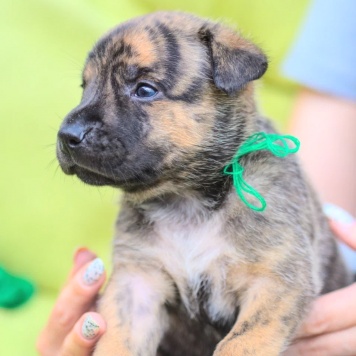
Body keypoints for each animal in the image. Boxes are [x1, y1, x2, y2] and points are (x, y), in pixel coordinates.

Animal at [57, 11, 352, 356]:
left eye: (144, 90)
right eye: (85, 86)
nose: (67, 136)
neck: (186, 199)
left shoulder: (276, 279)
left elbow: (241, 343)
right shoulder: (137, 283)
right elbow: (118, 341)